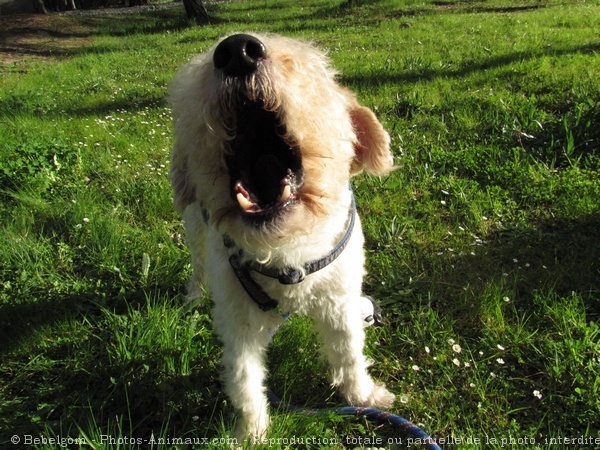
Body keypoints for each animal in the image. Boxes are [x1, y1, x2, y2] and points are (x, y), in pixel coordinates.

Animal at [169, 32, 396, 442]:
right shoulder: (237, 320)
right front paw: (250, 434)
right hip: (193, 222)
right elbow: (244, 378)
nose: (237, 50)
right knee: (197, 264)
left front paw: (364, 396)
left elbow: (349, 352)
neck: (286, 250)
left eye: (309, 69)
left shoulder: (340, 300)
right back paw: (193, 294)